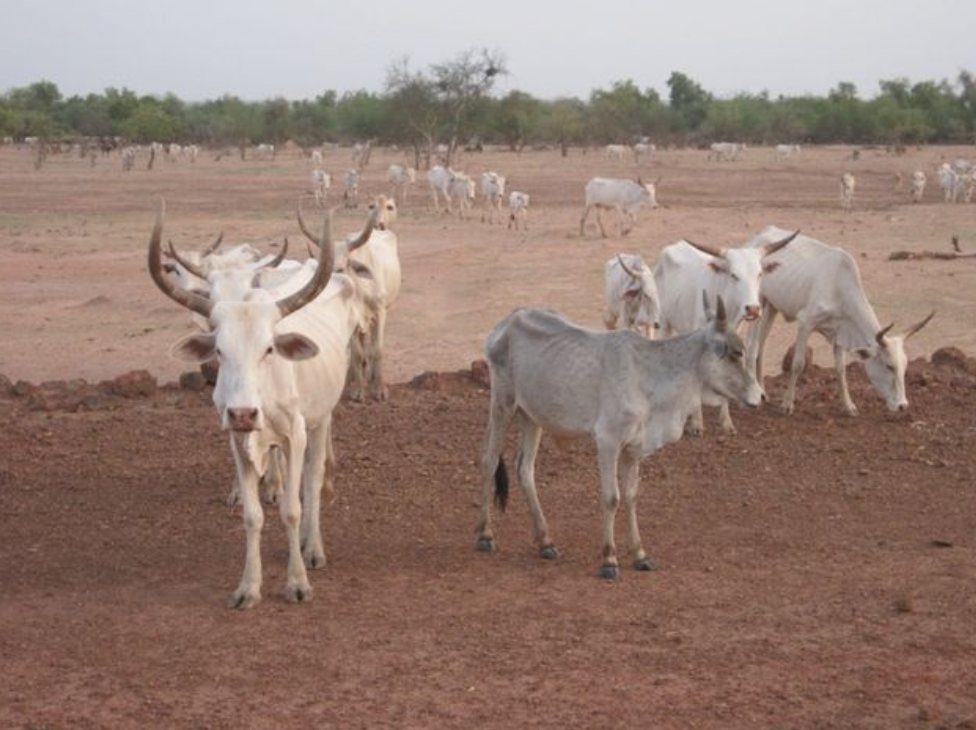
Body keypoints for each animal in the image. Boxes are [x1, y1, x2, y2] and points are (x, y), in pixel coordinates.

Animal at [149, 202, 378, 604]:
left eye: (269, 348)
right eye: (220, 350)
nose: (242, 412)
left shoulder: (296, 433)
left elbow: (293, 509)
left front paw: (298, 582)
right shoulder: (238, 440)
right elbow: (253, 515)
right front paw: (248, 586)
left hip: (319, 420)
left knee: (312, 478)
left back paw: (312, 545)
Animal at [472, 294, 764, 576]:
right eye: (735, 353)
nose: (760, 396)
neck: (649, 376)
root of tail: (509, 320)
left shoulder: (634, 448)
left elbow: (631, 496)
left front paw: (640, 555)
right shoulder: (608, 441)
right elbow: (612, 498)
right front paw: (609, 559)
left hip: (533, 417)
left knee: (525, 469)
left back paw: (546, 541)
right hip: (503, 403)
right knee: (488, 460)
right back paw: (485, 535)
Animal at [652, 230, 796, 432]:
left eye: (759, 274)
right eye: (734, 275)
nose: (753, 309)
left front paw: (726, 422)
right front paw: (696, 423)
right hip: (665, 322)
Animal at [748, 225, 936, 416]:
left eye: (905, 366)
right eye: (889, 366)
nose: (902, 405)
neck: (838, 287)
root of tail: (761, 235)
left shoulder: (839, 332)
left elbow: (840, 369)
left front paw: (848, 406)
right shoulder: (805, 323)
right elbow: (798, 364)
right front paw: (787, 404)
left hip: (772, 307)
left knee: (761, 347)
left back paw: (763, 392)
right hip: (758, 304)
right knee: (753, 346)